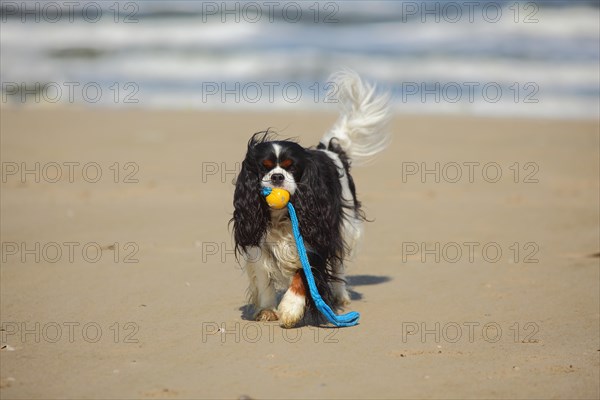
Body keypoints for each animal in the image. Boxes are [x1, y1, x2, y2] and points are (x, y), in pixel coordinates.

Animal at [230, 69, 390, 328]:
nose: (276, 177)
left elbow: (302, 275)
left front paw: (291, 308)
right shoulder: (259, 245)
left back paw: (340, 296)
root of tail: (330, 150)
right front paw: (267, 309)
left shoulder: (315, 238)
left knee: (339, 263)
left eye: (291, 167)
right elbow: (264, 278)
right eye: (264, 168)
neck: (281, 217)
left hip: (344, 227)